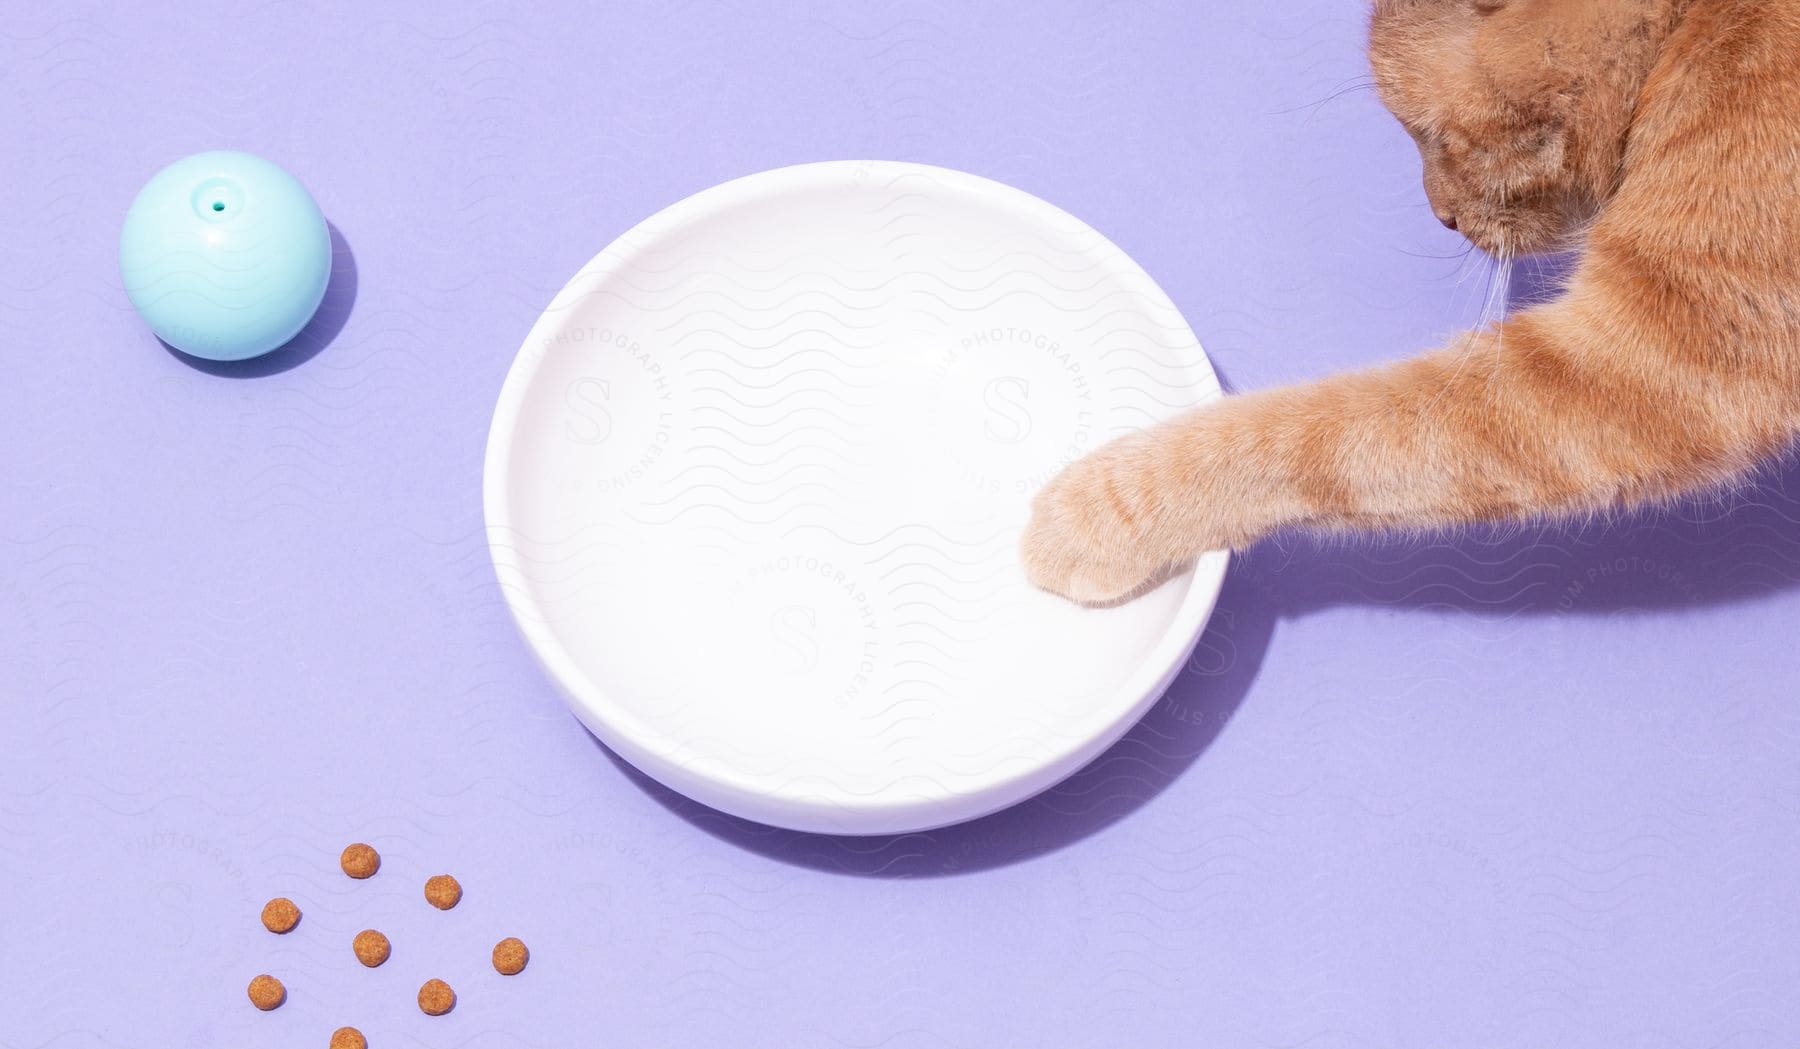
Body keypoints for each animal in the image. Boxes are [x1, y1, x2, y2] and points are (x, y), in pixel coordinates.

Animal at [1029, 0, 1800, 604]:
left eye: (1429, 133)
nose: (1442, 217)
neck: (1695, 26)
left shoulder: (1657, 358)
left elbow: (1309, 427)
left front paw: (1097, 511)